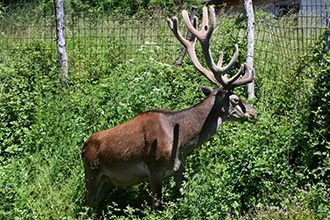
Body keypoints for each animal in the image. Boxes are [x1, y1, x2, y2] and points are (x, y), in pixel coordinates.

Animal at [81, 5, 260, 210]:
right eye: (236, 99)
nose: (255, 112)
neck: (181, 142)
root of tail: (83, 148)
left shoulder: (179, 168)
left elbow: (182, 195)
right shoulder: (154, 167)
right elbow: (157, 204)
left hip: (107, 181)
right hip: (91, 173)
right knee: (87, 206)